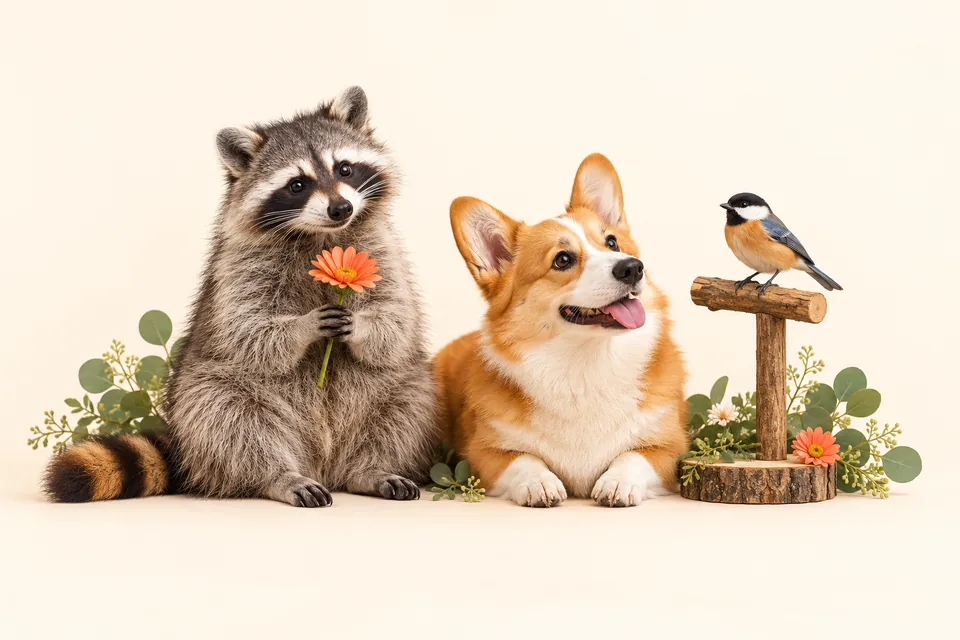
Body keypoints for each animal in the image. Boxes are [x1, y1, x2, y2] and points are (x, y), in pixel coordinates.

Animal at [44, 87, 439, 507]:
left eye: (345, 169)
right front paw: (303, 327)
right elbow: (248, 327)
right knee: (228, 419)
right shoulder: (239, 266)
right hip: (208, 392)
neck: (320, 235)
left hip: (399, 388)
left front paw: (361, 326)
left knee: (408, 404)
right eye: (297, 185)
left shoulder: (381, 250)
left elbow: (395, 317)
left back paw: (369, 469)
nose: (341, 208)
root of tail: (325, 466)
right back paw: (278, 476)